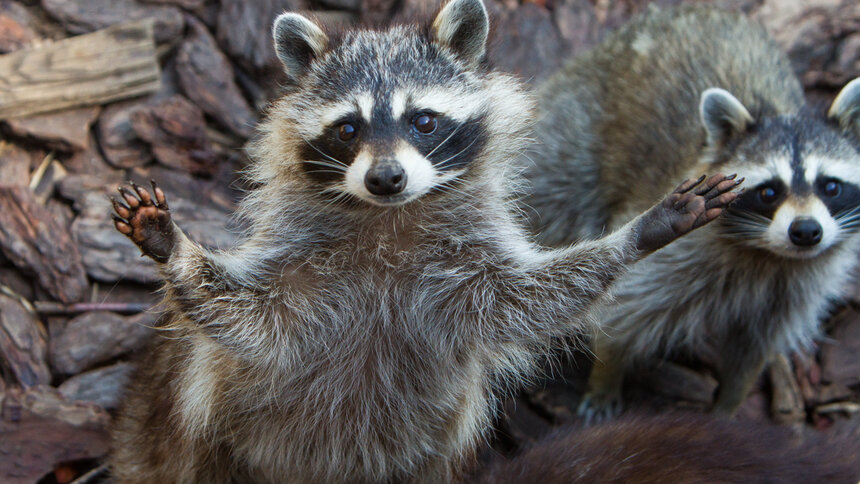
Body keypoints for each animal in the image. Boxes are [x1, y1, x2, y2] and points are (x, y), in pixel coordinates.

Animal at [107, 1, 740, 482]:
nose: (387, 178)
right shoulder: (298, 269)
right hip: (185, 439)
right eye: (348, 129)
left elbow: (532, 295)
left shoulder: (467, 269)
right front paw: (173, 247)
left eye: (424, 121)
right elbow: (245, 315)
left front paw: (640, 234)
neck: (389, 220)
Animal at [524, 4, 860, 420]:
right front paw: (606, 374)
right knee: (555, 190)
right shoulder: (681, 246)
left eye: (830, 186)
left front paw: (729, 404)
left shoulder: (793, 287)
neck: (768, 255)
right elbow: (627, 305)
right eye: (769, 192)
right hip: (574, 126)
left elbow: (754, 348)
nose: (806, 232)